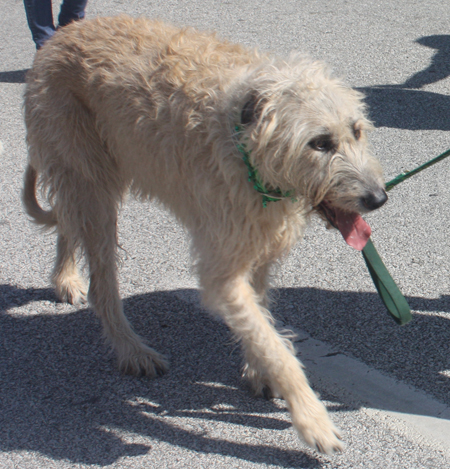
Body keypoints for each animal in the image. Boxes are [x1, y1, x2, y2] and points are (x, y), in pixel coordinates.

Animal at [22, 15, 386, 454]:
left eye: (357, 130)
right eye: (320, 143)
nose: (378, 198)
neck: (243, 142)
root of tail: (62, 35)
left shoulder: (257, 243)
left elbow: (259, 317)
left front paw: (257, 371)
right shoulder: (222, 270)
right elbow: (273, 344)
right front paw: (311, 416)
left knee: (67, 221)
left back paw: (65, 277)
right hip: (90, 179)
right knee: (101, 279)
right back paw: (130, 348)